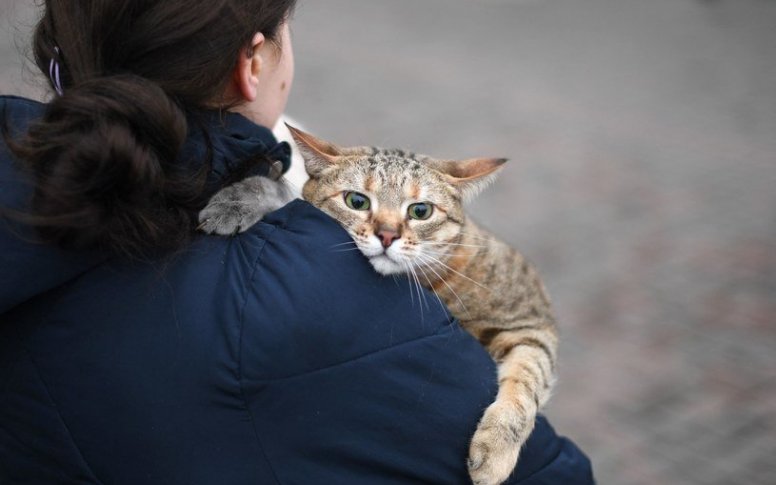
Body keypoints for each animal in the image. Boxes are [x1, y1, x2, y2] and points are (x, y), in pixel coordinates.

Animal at [197, 125, 556, 484]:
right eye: (356, 201)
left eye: (420, 211)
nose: (386, 235)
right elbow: (284, 193)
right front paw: (237, 200)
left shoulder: (531, 321)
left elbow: (527, 380)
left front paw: (495, 447)